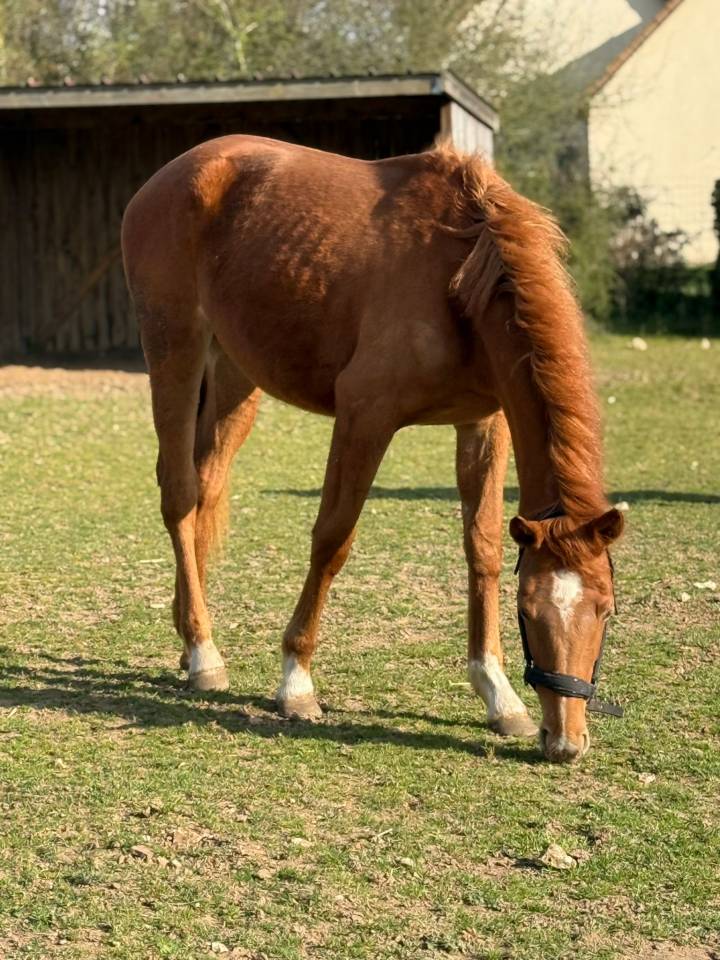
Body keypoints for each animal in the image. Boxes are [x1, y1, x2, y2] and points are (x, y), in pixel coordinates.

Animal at [121, 135, 623, 764]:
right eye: (529, 610)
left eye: (604, 608)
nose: (565, 741)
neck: (458, 274)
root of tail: (176, 172)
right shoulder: (365, 414)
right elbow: (332, 540)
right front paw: (296, 682)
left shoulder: (483, 424)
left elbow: (482, 548)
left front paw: (498, 692)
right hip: (175, 350)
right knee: (180, 494)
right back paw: (203, 651)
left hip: (236, 375)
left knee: (206, 487)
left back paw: (191, 636)